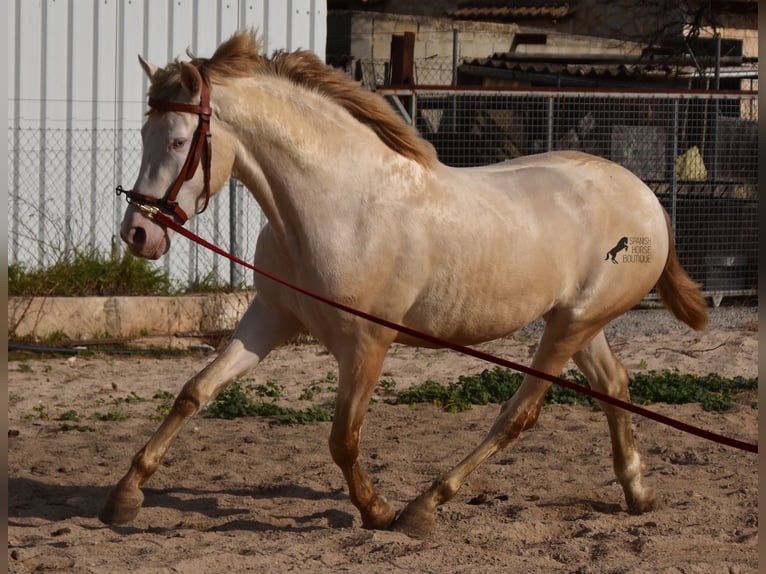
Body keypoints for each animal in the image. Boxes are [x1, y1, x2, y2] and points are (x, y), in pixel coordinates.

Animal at [102, 31, 708, 540]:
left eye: (179, 141)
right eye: (145, 132)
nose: (138, 233)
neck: (338, 204)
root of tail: (644, 195)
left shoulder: (368, 344)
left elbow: (343, 438)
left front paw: (377, 510)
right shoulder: (271, 316)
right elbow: (195, 391)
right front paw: (124, 497)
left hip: (570, 327)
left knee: (519, 415)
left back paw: (424, 506)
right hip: (577, 323)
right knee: (614, 385)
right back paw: (637, 492)